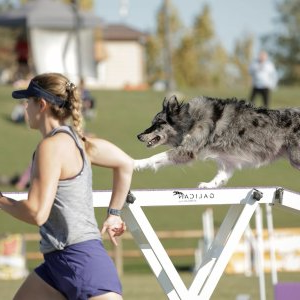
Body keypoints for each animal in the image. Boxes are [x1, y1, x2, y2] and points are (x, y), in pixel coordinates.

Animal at [135, 95, 300, 188]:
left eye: (158, 123)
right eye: (152, 123)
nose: (138, 136)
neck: (192, 120)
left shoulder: (186, 150)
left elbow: (155, 157)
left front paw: (136, 163)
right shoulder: (227, 160)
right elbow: (221, 177)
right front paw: (208, 185)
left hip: (295, 158)